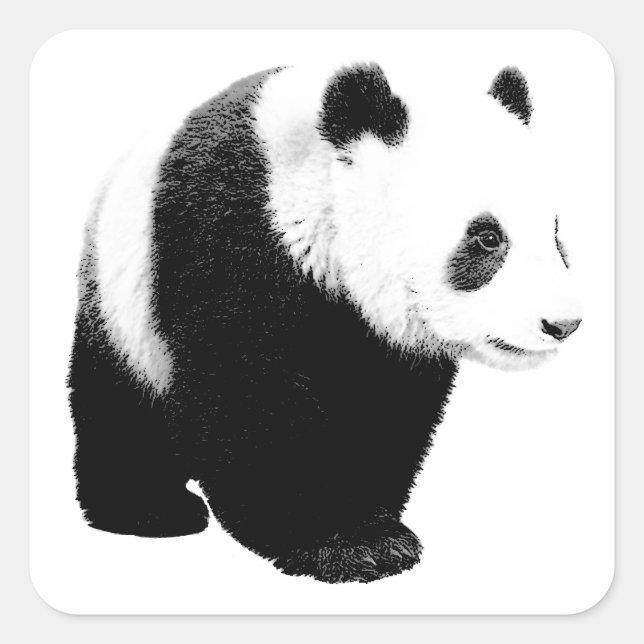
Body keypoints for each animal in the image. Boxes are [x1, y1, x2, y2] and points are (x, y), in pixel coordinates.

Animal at [68, 61, 582, 584]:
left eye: (555, 235)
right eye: (486, 237)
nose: (562, 323)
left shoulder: (379, 337)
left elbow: (385, 408)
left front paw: (373, 522)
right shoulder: (228, 236)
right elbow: (249, 391)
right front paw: (344, 543)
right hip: (123, 307)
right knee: (120, 407)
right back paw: (150, 509)